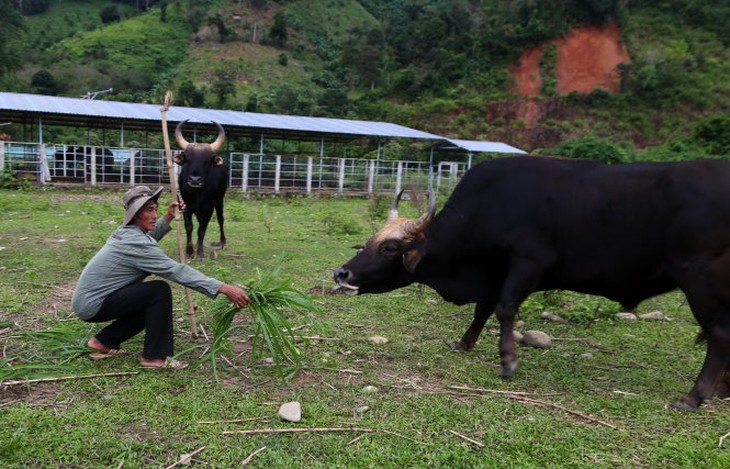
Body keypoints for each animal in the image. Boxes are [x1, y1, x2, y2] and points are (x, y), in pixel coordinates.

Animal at [173, 119, 228, 260]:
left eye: (207, 161)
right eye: (188, 159)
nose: (195, 179)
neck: (198, 193)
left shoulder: (209, 208)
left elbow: (202, 230)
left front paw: (200, 254)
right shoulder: (187, 205)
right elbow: (189, 227)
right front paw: (189, 251)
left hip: (220, 201)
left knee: (220, 219)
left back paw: (222, 242)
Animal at [334, 154, 730, 410]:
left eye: (389, 247)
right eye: (368, 241)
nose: (342, 273)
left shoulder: (528, 263)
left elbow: (504, 308)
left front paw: (509, 361)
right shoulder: (496, 272)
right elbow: (483, 309)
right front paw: (464, 343)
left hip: (699, 281)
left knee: (718, 333)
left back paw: (695, 396)